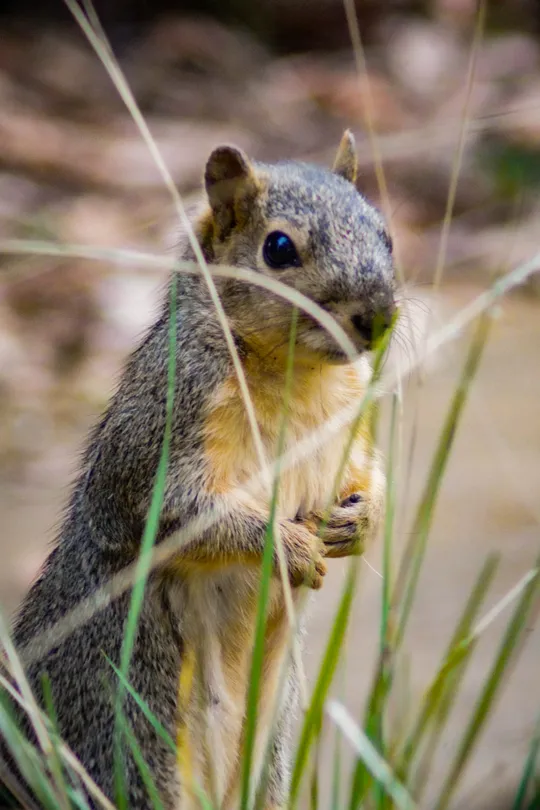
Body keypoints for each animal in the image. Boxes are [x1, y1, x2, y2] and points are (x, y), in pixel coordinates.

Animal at [5, 130, 396, 810]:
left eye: (386, 234)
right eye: (279, 248)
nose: (377, 315)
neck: (298, 376)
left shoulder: (352, 429)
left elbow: (368, 478)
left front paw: (362, 521)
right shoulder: (156, 436)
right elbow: (182, 516)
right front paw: (289, 547)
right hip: (135, 747)